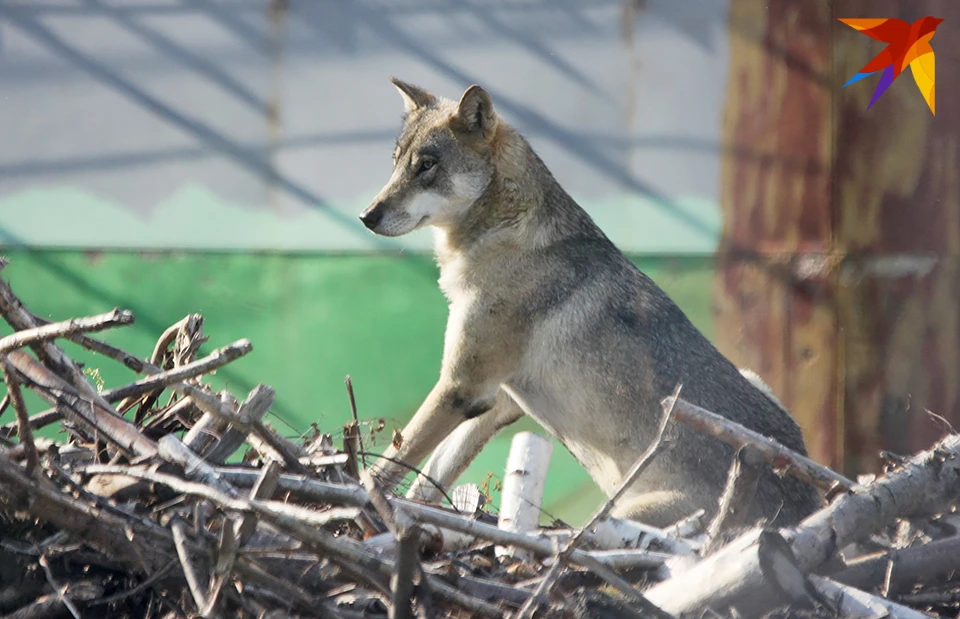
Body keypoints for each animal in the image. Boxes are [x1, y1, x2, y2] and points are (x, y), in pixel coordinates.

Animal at [356, 78, 820, 528]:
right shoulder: (495, 403)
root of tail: (808, 510)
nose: (366, 216)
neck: (506, 235)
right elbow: (429, 479)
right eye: (397, 163)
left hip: (617, 516)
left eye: (426, 165)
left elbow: (392, 462)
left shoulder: (461, 387)